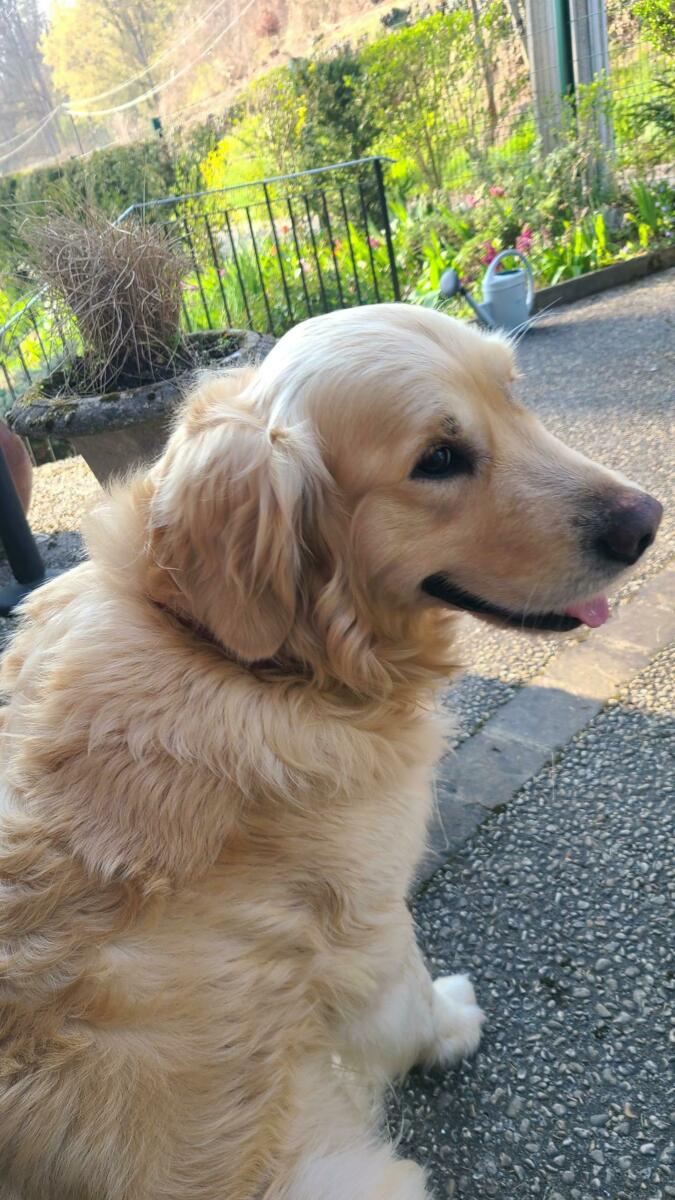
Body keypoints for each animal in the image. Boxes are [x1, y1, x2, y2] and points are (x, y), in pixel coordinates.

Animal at [0, 304, 661, 1199]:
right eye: (438, 460)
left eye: (514, 395)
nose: (647, 520)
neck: (238, 655)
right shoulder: (367, 916)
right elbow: (405, 999)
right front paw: (447, 1026)